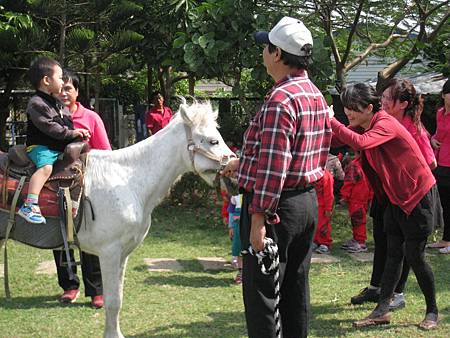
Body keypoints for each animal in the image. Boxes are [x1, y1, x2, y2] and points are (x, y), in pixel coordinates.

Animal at [75, 101, 234, 338]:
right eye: (213, 141)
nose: (234, 172)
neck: (127, 182)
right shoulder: (109, 252)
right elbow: (112, 301)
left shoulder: (121, 255)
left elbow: (118, 299)